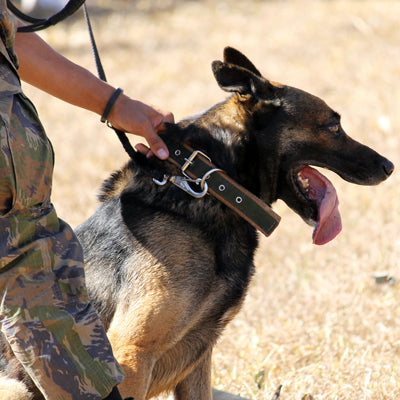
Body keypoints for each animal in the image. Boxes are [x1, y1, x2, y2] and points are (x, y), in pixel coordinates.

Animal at [0, 47, 394, 400]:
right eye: (333, 126)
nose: (389, 166)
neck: (209, 186)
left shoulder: (198, 359)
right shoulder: (131, 353)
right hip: (17, 388)